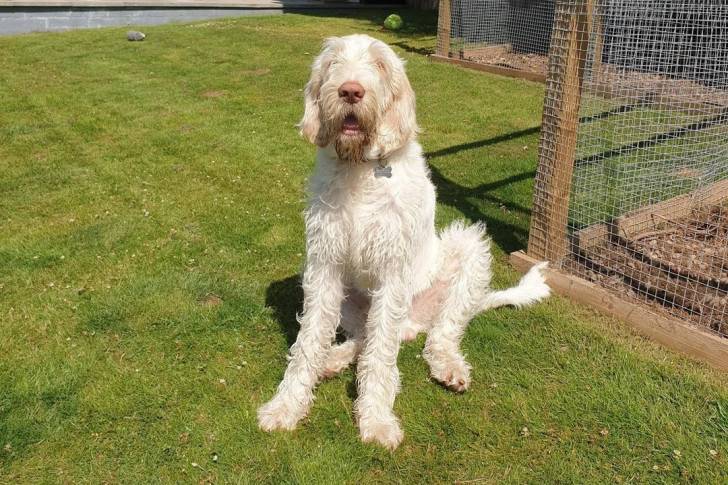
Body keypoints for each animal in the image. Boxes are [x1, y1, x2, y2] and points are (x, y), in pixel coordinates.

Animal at [258, 34, 550, 450]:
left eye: (380, 65)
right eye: (332, 63)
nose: (350, 90)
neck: (362, 169)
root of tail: (414, 323)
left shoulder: (393, 272)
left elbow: (382, 354)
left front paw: (376, 420)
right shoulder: (324, 264)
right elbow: (309, 340)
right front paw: (286, 406)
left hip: (466, 250)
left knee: (439, 334)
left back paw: (448, 365)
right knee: (364, 336)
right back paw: (334, 359)